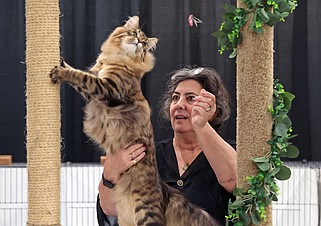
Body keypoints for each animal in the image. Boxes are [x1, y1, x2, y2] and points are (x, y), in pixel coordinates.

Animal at [48, 15, 219, 225]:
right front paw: (61, 62)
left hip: (145, 213)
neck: (119, 57)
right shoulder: (96, 83)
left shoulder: (109, 88)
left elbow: (80, 76)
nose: (138, 41)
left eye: (144, 44)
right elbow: (81, 73)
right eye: (133, 33)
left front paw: (60, 72)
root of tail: (163, 188)